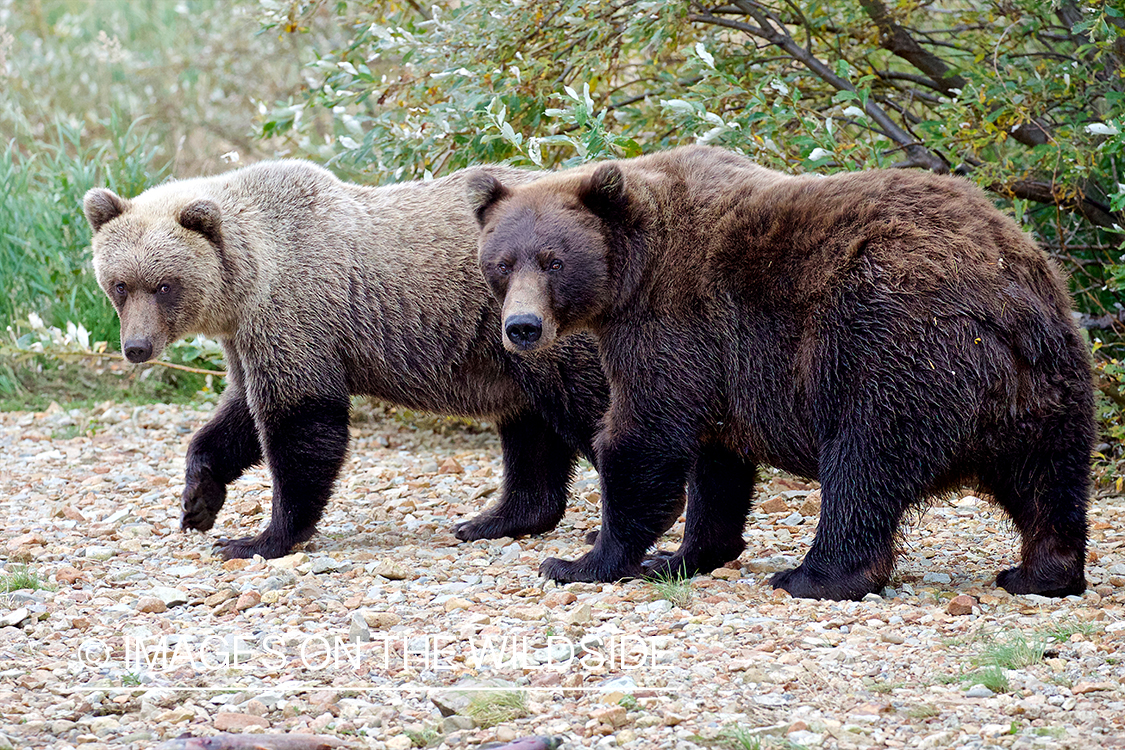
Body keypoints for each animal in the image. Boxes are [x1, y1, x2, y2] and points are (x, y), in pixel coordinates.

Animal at [82, 161, 612, 559]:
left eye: (164, 285)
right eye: (120, 284)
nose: (137, 347)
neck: (247, 286)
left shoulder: (299, 314)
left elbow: (302, 423)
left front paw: (260, 538)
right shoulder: (250, 339)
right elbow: (238, 416)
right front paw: (197, 502)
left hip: (546, 331)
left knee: (589, 408)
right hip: (512, 353)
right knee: (532, 429)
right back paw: (491, 520)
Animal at [470, 143, 1093, 602]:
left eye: (553, 261)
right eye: (501, 263)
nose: (522, 326)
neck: (631, 272)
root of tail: (1005, 290)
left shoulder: (673, 321)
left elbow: (643, 435)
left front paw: (581, 560)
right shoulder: (722, 367)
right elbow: (715, 462)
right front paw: (683, 554)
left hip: (888, 344)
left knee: (864, 461)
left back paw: (814, 576)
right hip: (1045, 379)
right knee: (1048, 478)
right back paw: (1041, 572)